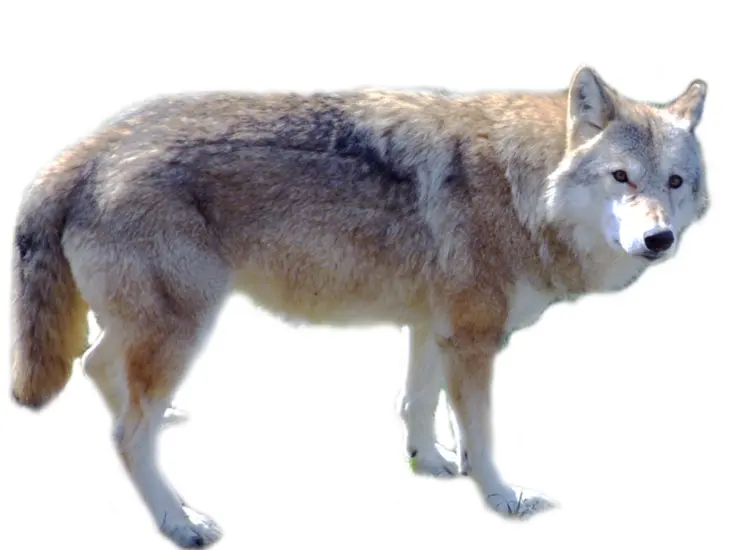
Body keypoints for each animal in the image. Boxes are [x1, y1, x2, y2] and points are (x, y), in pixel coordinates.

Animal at [10, 66, 708, 547]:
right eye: (621, 177)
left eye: (675, 183)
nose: (659, 240)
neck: (523, 189)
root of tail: (85, 150)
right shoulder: (474, 339)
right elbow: (480, 435)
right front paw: (501, 498)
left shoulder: (434, 327)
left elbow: (418, 404)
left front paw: (430, 464)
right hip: (186, 324)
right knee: (127, 433)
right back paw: (180, 522)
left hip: (154, 329)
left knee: (102, 370)